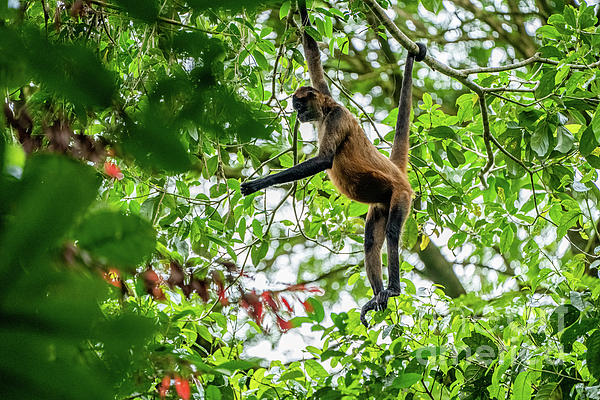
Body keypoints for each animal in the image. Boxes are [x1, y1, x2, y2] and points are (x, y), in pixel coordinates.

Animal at [239, 0, 426, 326]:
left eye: (298, 105)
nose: (297, 114)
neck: (328, 110)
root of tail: (398, 175)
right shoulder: (324, 96)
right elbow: (312, 52)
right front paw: (301, 11)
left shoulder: (337, 117)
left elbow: (325, 159)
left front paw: (258, 183)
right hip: (381, 203)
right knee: (371, 242)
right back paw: (378, 296)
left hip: (400, 195)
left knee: (392, 232)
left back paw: (393, 288)